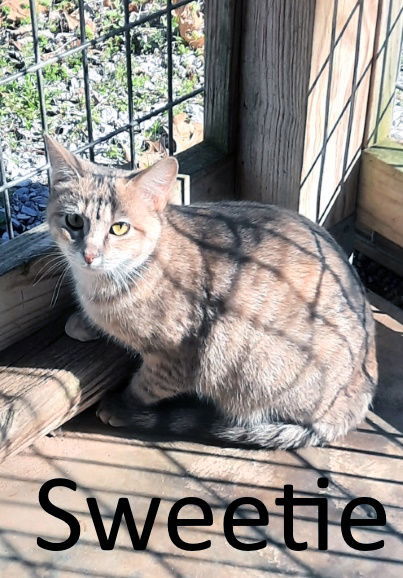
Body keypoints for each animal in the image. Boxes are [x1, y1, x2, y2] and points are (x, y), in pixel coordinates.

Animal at [45, 136, 378, 450]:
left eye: (119, 228)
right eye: (74, 221)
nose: (89, 255)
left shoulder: (179, 357)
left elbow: (145, 386)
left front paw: (122, 406)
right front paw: (83, 323)